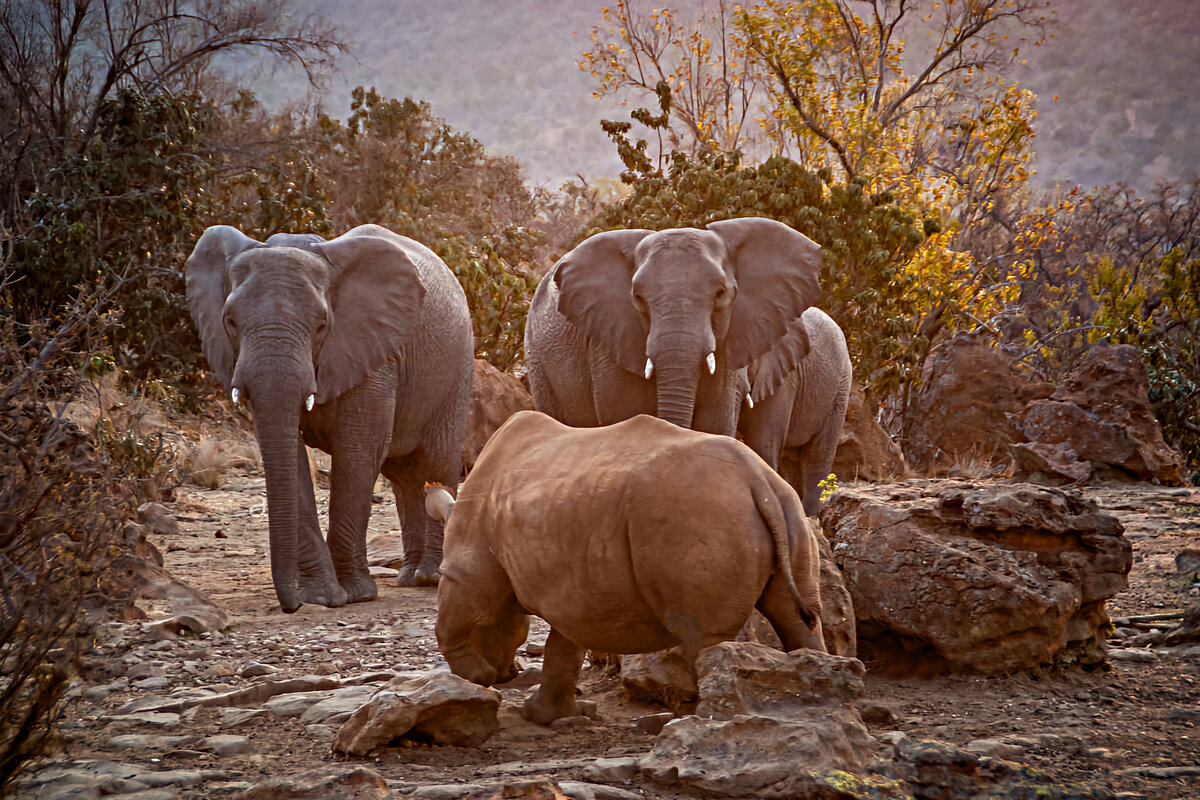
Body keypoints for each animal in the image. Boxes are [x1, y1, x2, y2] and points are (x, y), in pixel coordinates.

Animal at [184, 225, 470, 614]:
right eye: (229, 321)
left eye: (321, 324)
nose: (290, 607)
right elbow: (292, 458)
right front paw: (321, 597)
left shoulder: (373, 353)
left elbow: (358, 451)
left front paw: (355, 594)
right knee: (404, 475)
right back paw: (410, 578)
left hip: (457, 368)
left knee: (436, 460)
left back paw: (431, 578)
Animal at [427, 412, 830, 724]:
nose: (506, 674)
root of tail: (755, 478)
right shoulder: (573, 590)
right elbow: (564, 649)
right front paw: (542, 715)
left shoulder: (468, 569)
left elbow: (454, 617)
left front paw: (477, 677)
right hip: (785, 507)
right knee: (797, 618)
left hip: (702, 512)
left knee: (704, 636)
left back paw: (700, 722)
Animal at [525, 215, 825, 438]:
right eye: (637, 298)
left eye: (720, 294)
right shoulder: (610, 340)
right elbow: (625, 417)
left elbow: (715, 423)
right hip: (538, 360)